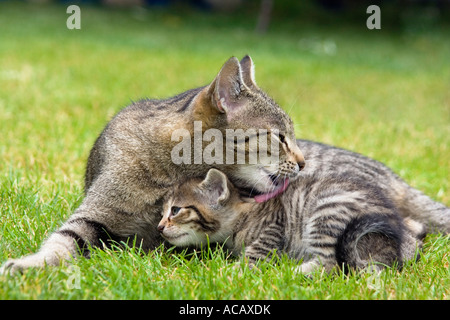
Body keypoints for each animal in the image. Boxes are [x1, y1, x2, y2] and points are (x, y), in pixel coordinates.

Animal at [158, 168, 446, 272]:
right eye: (163, 212)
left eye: (176, 210)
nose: (160, 227)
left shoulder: (274, 228)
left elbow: (253, 256)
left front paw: (227, 273)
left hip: (327, 211)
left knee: (330, 264)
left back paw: (293, 272)